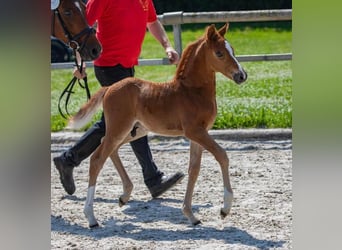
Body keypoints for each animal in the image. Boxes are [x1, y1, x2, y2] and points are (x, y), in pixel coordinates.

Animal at [67, 23, 247, 227]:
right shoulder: (195, 131)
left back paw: (124, 195)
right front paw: (225, 209)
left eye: (233, 50)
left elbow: (194, 169)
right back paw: (91, 217)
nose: (242, 75)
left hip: (134, 130)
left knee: (110, 148)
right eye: (219, 53)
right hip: (120, 127)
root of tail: (109, 88)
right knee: (97, 159)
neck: (192, 91)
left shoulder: (199, 134)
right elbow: (222, 156)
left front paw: (191, 215)